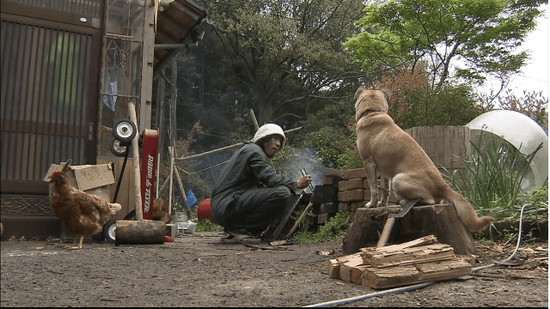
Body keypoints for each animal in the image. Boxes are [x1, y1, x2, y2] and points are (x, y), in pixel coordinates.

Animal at [358, 86, 496, 231]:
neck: (373, 112)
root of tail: (443, 186)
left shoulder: (368, 163)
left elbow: (373, 188)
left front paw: (371, 204)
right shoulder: (383, 171)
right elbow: (384, 191)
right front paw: (381, 204)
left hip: (398, 178)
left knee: (428, 200)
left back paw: (404, 201)